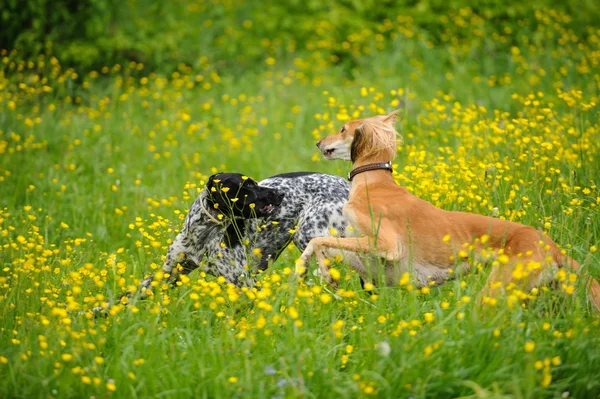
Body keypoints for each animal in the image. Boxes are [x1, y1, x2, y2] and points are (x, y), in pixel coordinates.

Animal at [138, 171, 350, 294]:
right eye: (246, 185)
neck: (204, 232)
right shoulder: (169, 272)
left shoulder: (246, 283)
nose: (281, 194)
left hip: (307, 236)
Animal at [298, 111, 600, 310]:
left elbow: (318, 240)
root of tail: (550, 244)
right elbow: (323, 246)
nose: (317, 143)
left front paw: (312, 269)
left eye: (342, 129)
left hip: (495, 290)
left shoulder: (387, 245)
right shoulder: (374, 260)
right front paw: (320, 272)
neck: (375, 182)